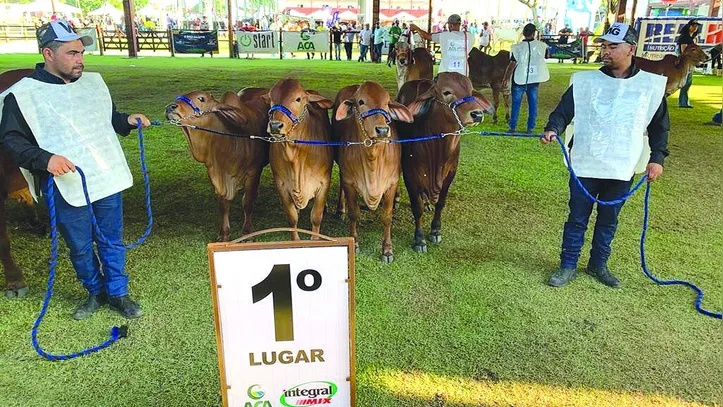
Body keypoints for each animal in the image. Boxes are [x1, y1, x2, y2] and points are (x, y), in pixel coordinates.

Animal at [165, 88, 270, 242]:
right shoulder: (215, 173)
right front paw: (224, 234)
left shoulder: (253, 172)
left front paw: (247, 233)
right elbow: (223, 204)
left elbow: (247, 202)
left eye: (201, 99)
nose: (170, 107)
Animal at [266, 78, 334, 241]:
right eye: (271, 98)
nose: (275, 126)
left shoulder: (324, 182)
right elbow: (292, 217)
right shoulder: (281, 185)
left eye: (298, 99)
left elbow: (316, 216)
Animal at [332, 81, 412, 262]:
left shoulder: (391, 183)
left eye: (386, 103)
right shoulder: (349, 182)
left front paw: (387, 250)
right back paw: (340, 209)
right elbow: (354, 214)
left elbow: (387, 217)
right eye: (361, 102)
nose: (382, 130)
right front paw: (355, 243)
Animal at [396, 71, 492, 253]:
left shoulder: (451, 173)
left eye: (470, 91)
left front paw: (435, 230)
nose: (477, 114)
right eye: (447, 92)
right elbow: (416, 208)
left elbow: (441, 203)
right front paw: (419, 239)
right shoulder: (410, 174)